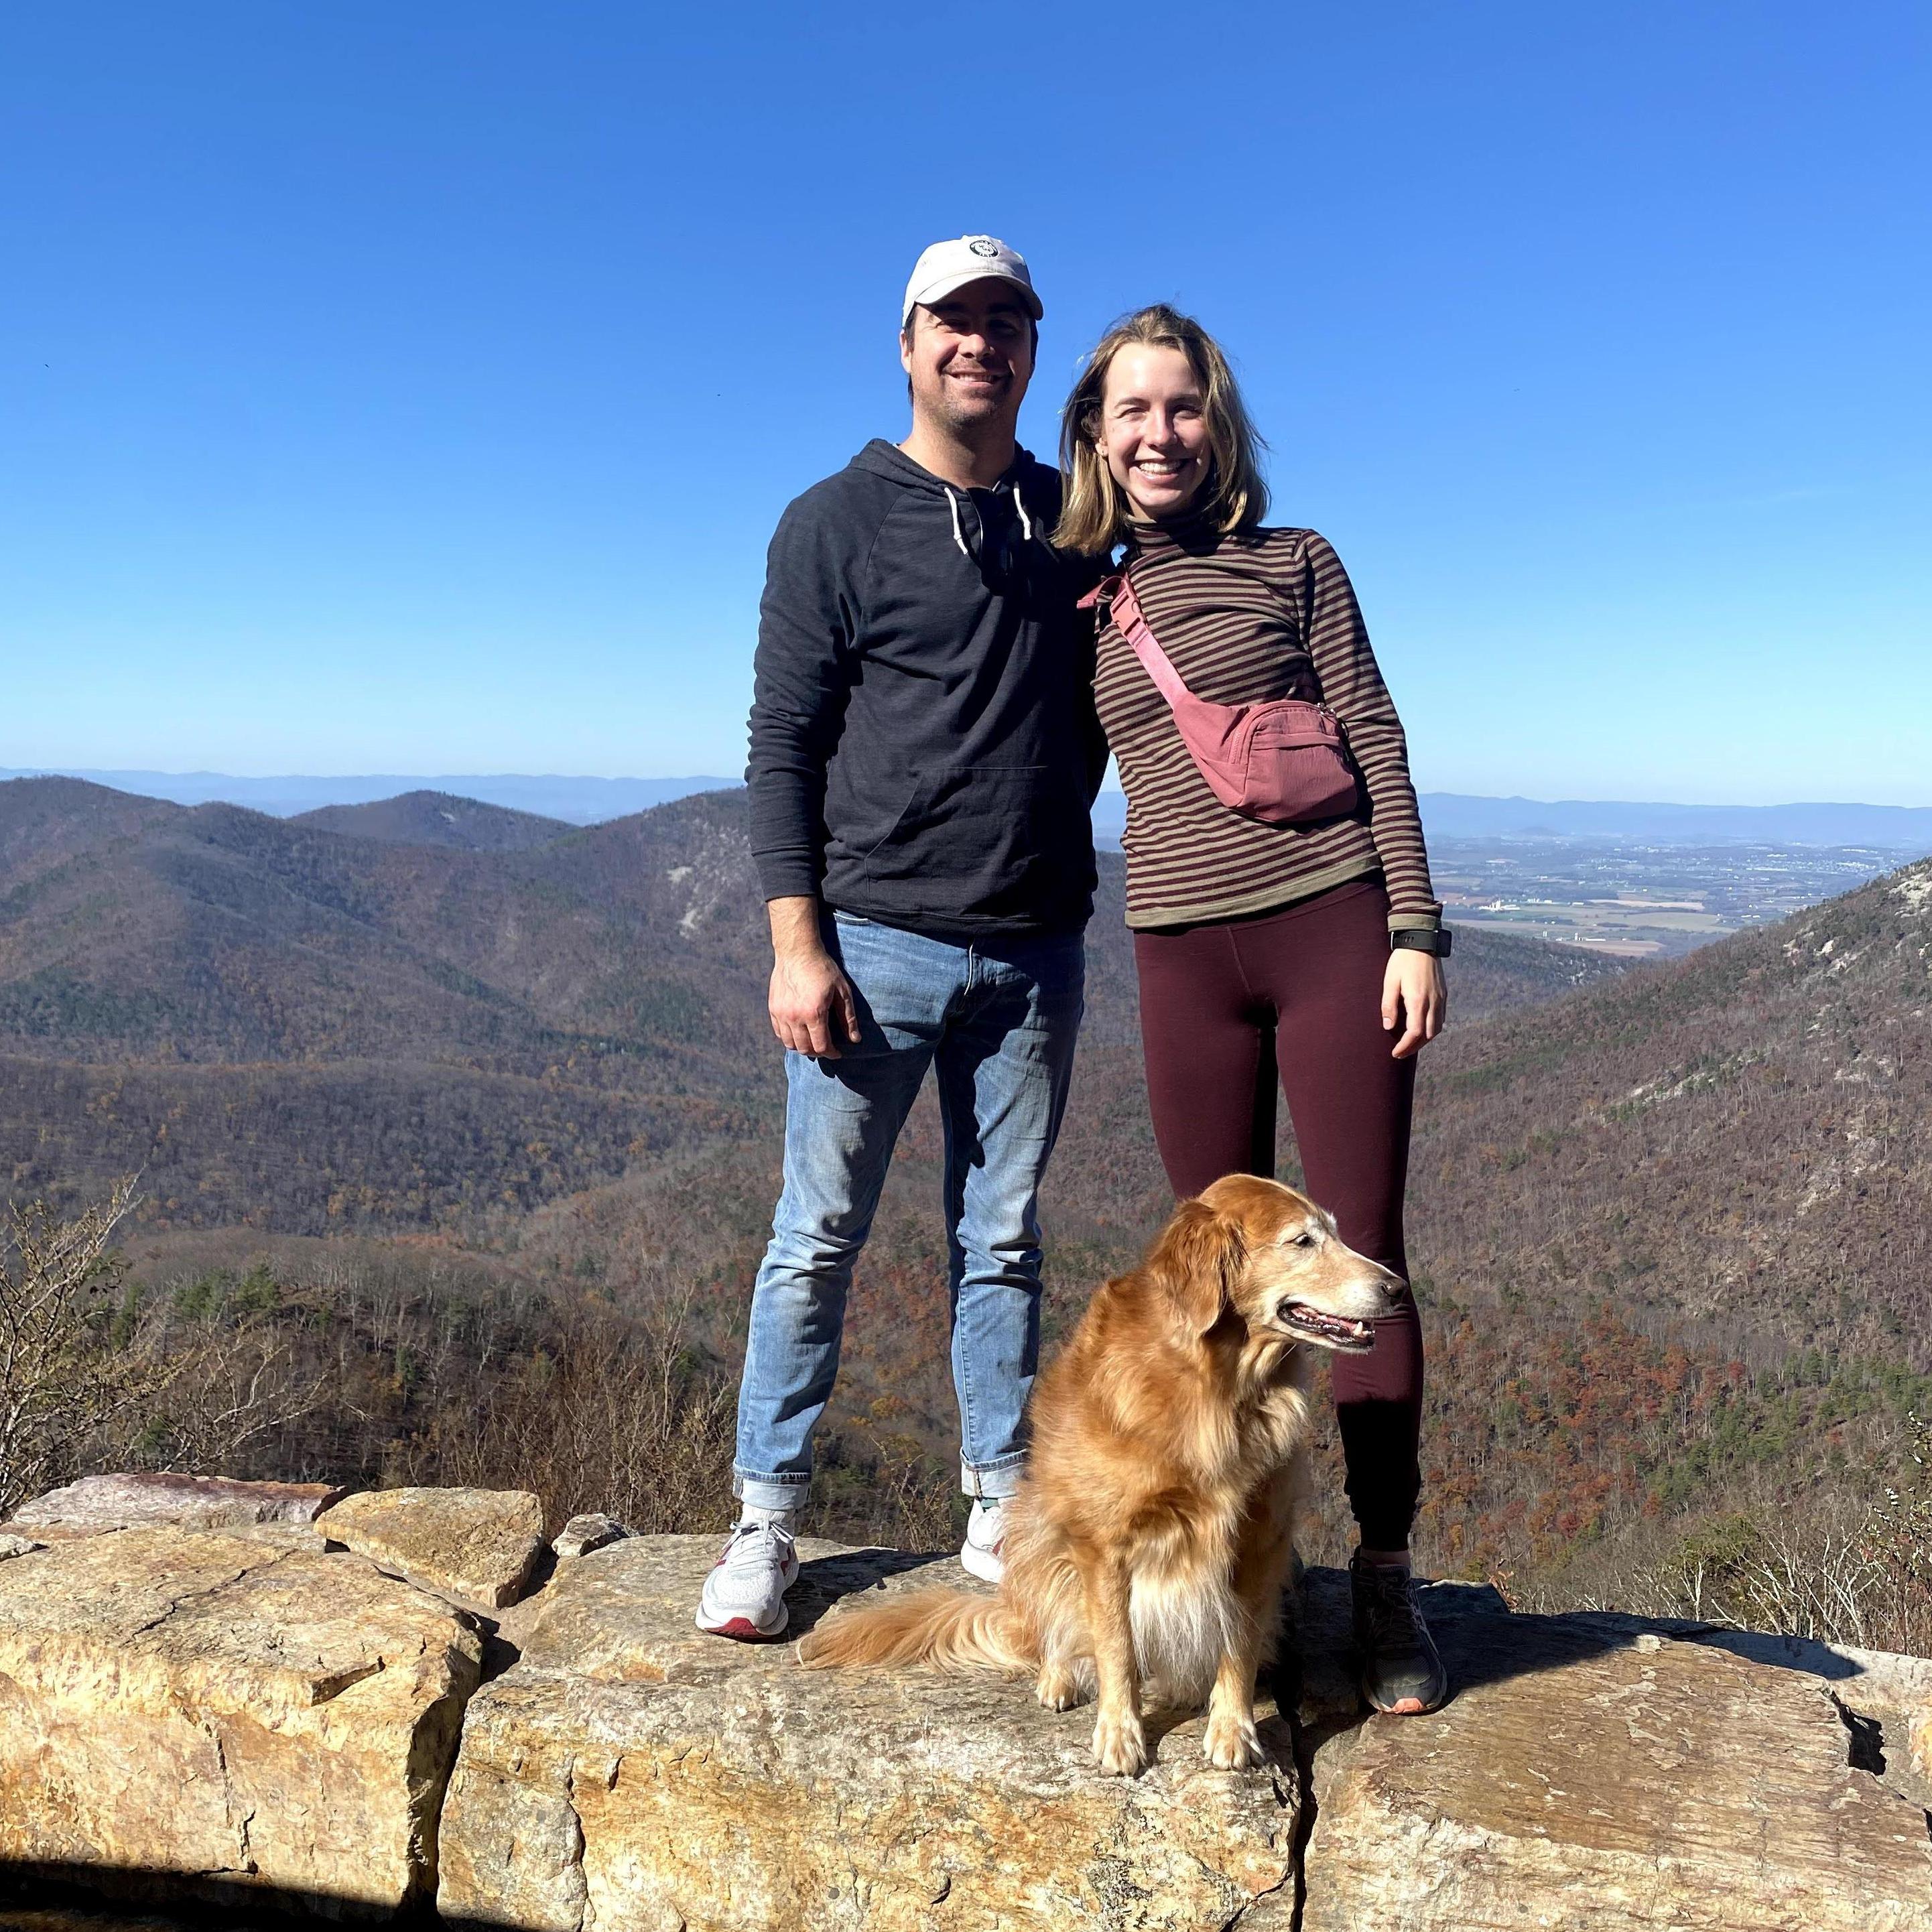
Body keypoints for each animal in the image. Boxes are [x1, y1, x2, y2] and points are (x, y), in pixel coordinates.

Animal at [792, 1167, 1399, 1769]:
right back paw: (1059, 1676)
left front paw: (1233, 1728)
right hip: (1037, 1535)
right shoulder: (1104, 1545)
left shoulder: (1258, 1538)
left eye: (1335, 1232)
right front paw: (1120, 1732)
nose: (1396, 1288)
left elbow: (1238, 1643)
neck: (1214, 1382)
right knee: (1060, 1632)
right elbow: (1116, 1645)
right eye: (1302, 1240)